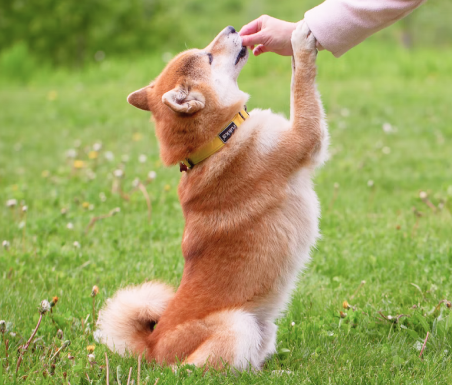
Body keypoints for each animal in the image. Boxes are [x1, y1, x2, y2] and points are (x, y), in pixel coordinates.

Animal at [97, 21, 326, 370]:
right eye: (207, 56)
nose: (232, 27)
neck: (218, 140)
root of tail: (151, 348)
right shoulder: (305, 137)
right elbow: (300, 81)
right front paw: (300, 41)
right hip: (238, 325)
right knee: (199, 371)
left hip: (262, 329)